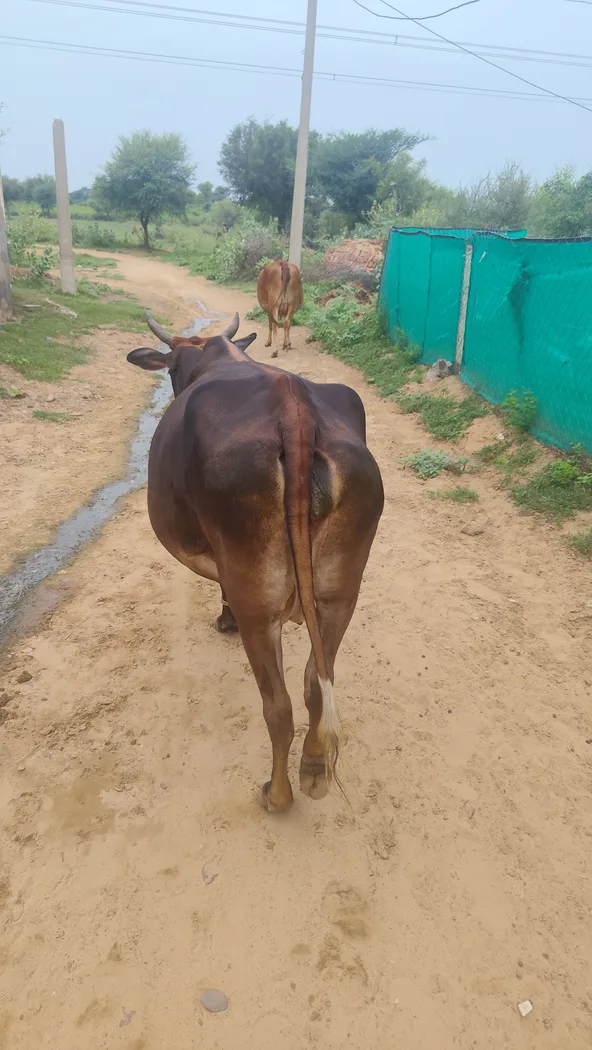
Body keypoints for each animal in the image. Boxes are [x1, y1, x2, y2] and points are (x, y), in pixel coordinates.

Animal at [126, 311, 384, 812]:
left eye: (172, 369)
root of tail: (295, 410)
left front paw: (222, 620)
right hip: (340, 597)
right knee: (315, 686)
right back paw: (313, 770)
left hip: (258, 606)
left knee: (278, 705)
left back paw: (278, 794)